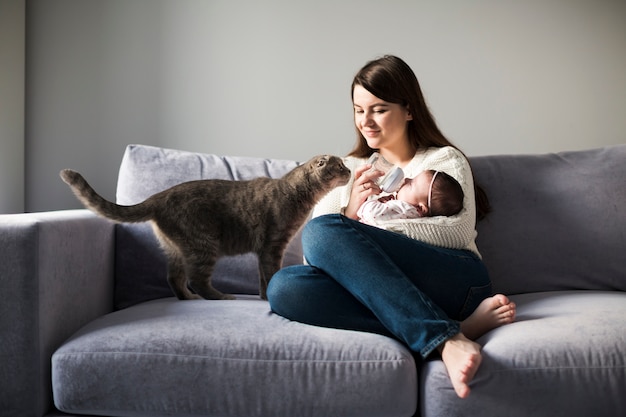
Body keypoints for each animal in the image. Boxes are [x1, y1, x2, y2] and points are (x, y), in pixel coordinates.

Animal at [60, 153, 348, 300]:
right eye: (341, 166)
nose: (349, 171)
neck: (296, 193)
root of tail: (158, 197)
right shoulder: (273, 245)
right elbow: (270, 274)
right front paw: (267, 298)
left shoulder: (265, 250)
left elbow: (262, 278)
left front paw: (263, 297)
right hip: (203, 245)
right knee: (196, 280)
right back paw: (220, 296)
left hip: (177, 249)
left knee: (174, 278)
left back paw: (189, 299)